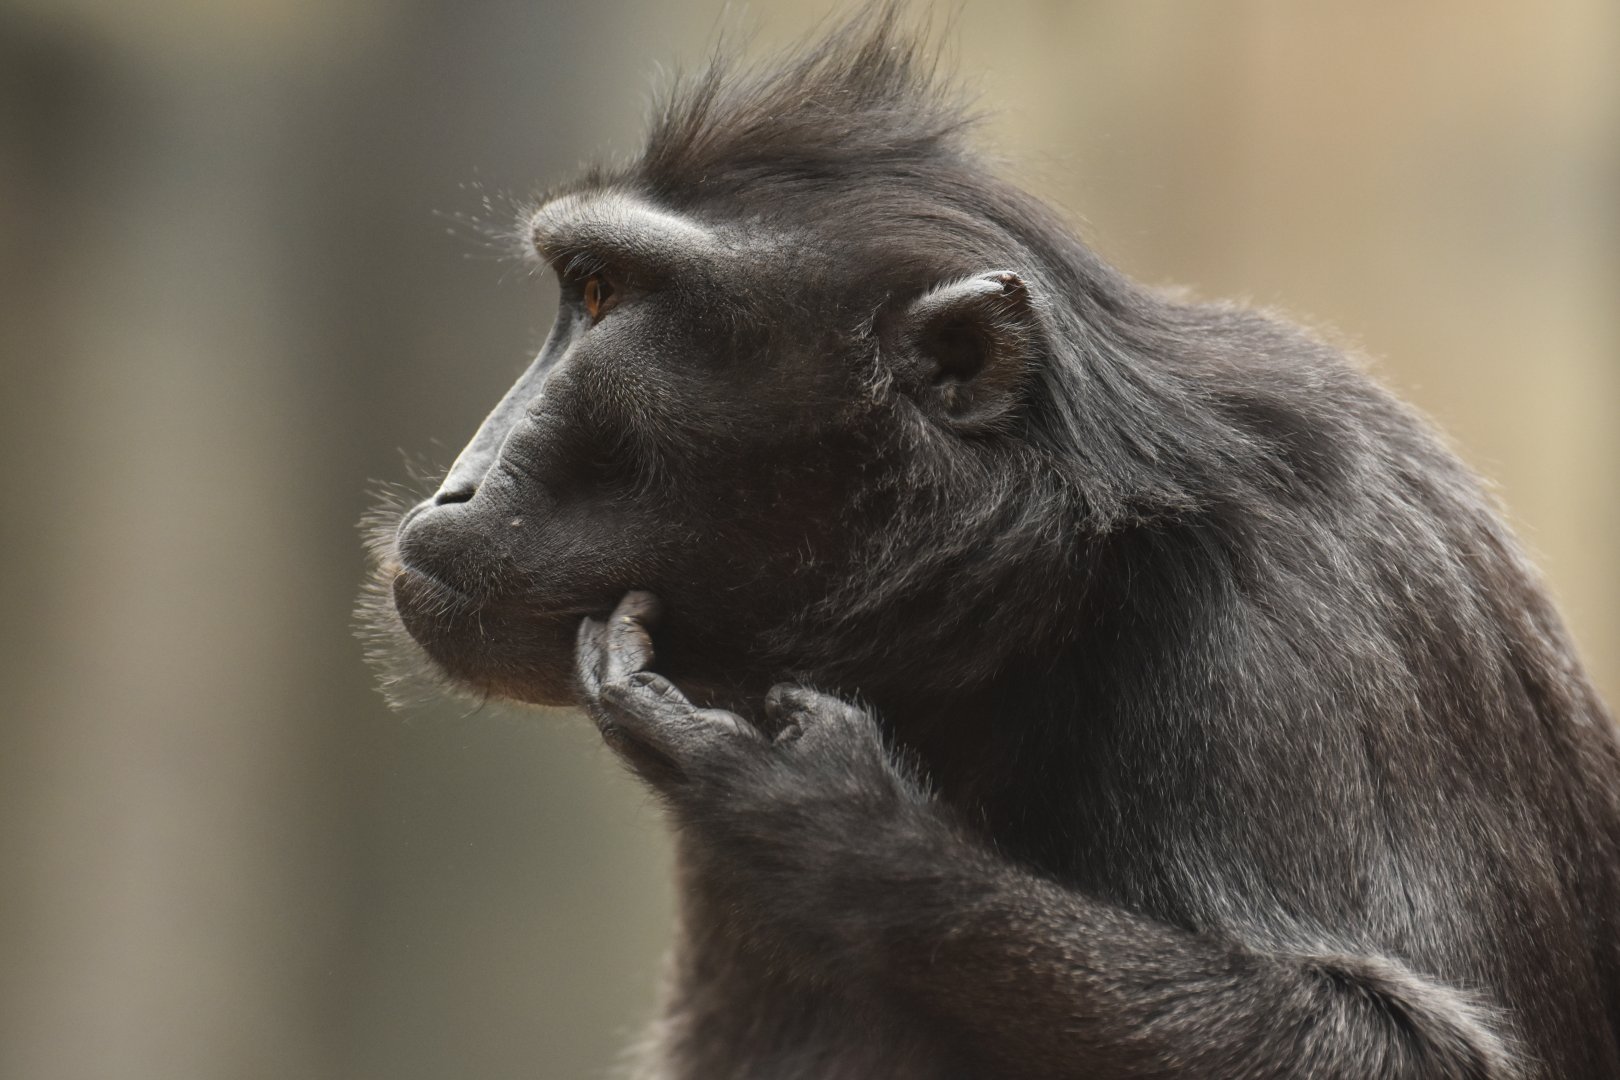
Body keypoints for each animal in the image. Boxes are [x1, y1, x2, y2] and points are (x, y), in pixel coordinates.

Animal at [361, 8, 1620, 1078]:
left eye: (602, 298)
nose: (461, 484)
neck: (1058, 574)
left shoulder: (1300, 609)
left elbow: (1401, 1047)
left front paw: (839, 833)